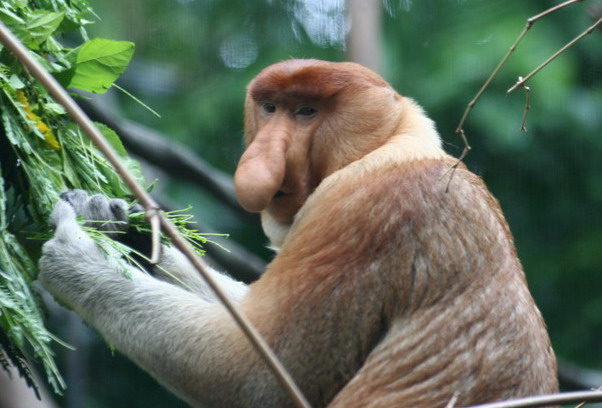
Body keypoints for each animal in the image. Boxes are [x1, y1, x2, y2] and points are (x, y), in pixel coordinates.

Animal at [39, 59, 556, 406]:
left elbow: (255, 374)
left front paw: (77, 259)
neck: (391, 147)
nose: (259, 162)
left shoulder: (362, 214)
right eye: (270, 108)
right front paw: (110, 221)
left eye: (306, 112)